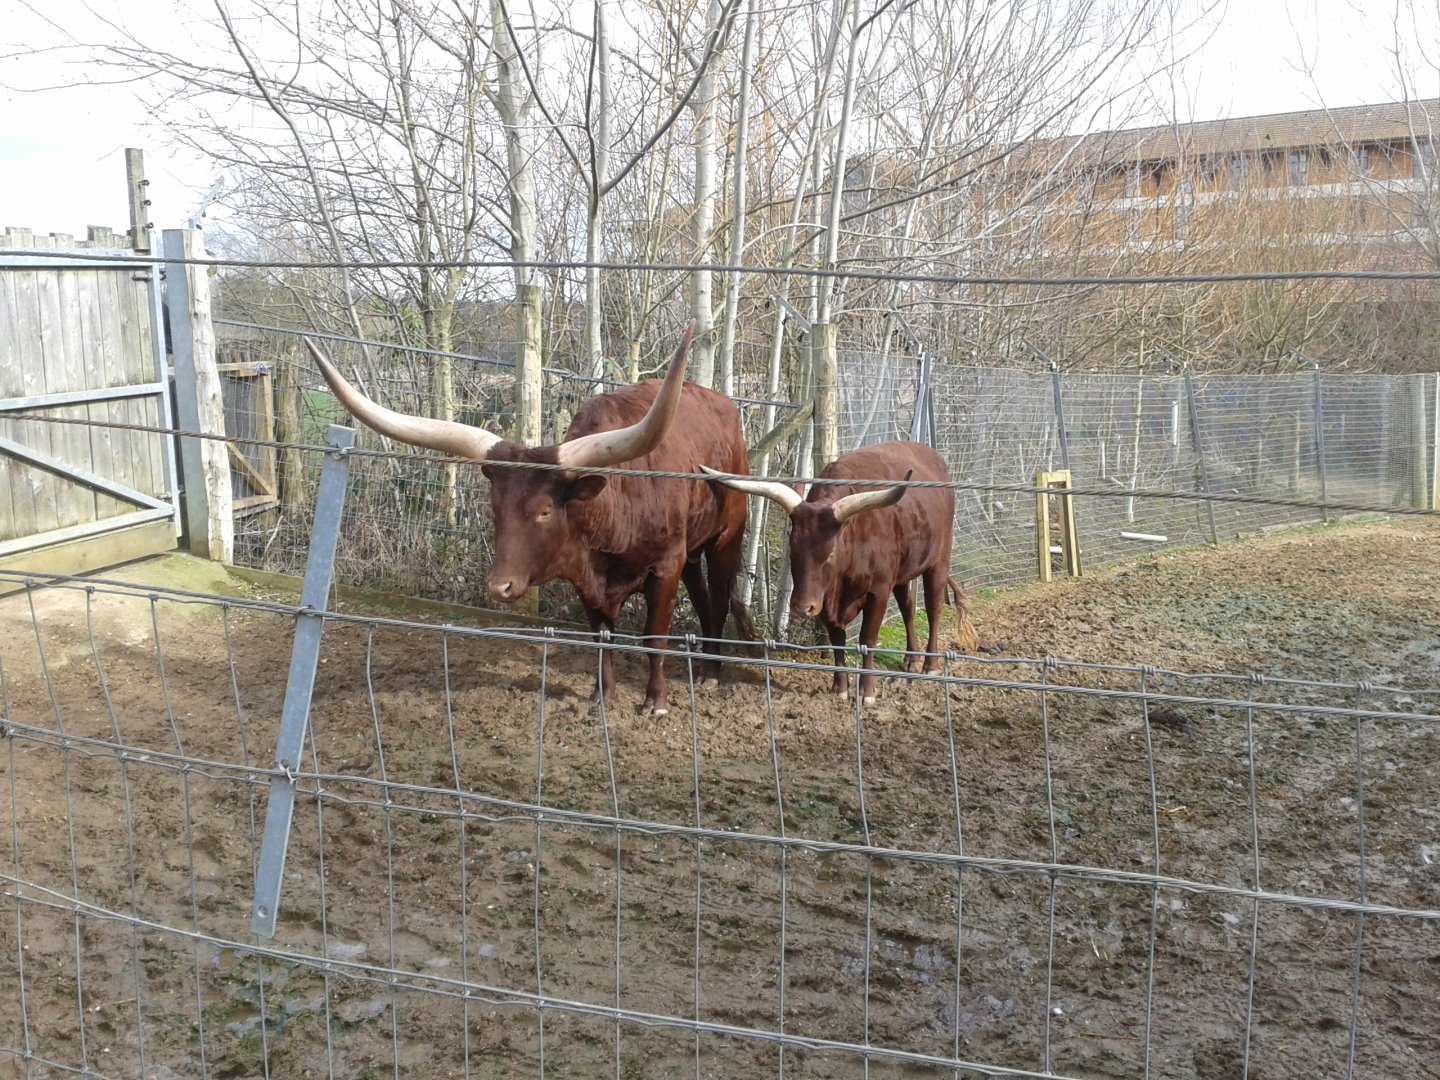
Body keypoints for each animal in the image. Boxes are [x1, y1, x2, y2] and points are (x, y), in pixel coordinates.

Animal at [307, 326, 749, 716]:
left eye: (544, 510)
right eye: (495, 508)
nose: (499, 586)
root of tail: (724, 405)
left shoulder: (664, 566)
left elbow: (653, 638)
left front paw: (655, 703)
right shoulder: (589, 578)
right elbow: (601, 637)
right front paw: (600, 698)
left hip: (727, 536)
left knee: (719, 596)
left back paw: (711, 671)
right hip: (692, 552)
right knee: (704, 596)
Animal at [705, 441, 973, 706]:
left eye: (831, 553)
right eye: (793, 549)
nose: (802, 607)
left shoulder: (878, 591)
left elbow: (867, 639)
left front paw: (867, 691)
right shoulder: (826, 599)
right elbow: (837, 641)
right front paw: (840, 687)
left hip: (939, 560)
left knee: (933, 607)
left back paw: (930, 664)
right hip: (902, 572)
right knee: (907, 606)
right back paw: (912, 658)